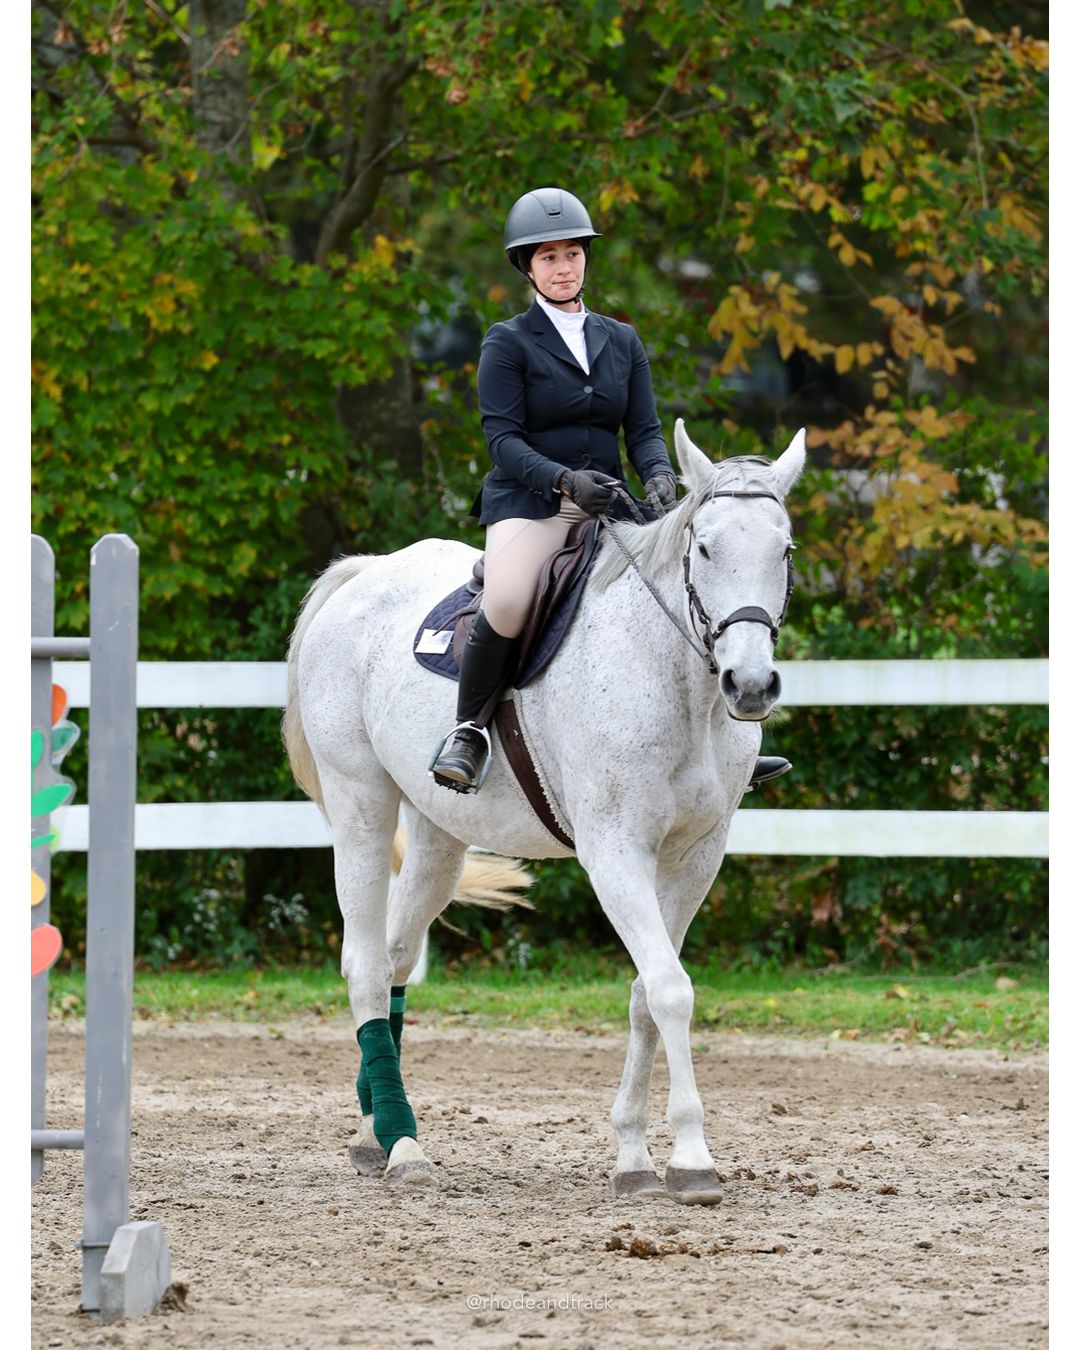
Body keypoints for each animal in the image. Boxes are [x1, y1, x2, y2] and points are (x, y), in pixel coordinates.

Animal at [283, 419, 805, 1203]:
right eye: (706, 547)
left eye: (785, 550)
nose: (750, 684)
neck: (675, 682)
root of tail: (364, 574)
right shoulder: (614, 851)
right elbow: (670, 990)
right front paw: (690, 1157)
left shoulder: (696, 855)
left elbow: (646, 993)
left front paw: (633, 1155)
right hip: (361, 808)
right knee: (368, 965)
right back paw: (403, 1145)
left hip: (440, 836)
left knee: (401, 956)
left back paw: (373, 1128)